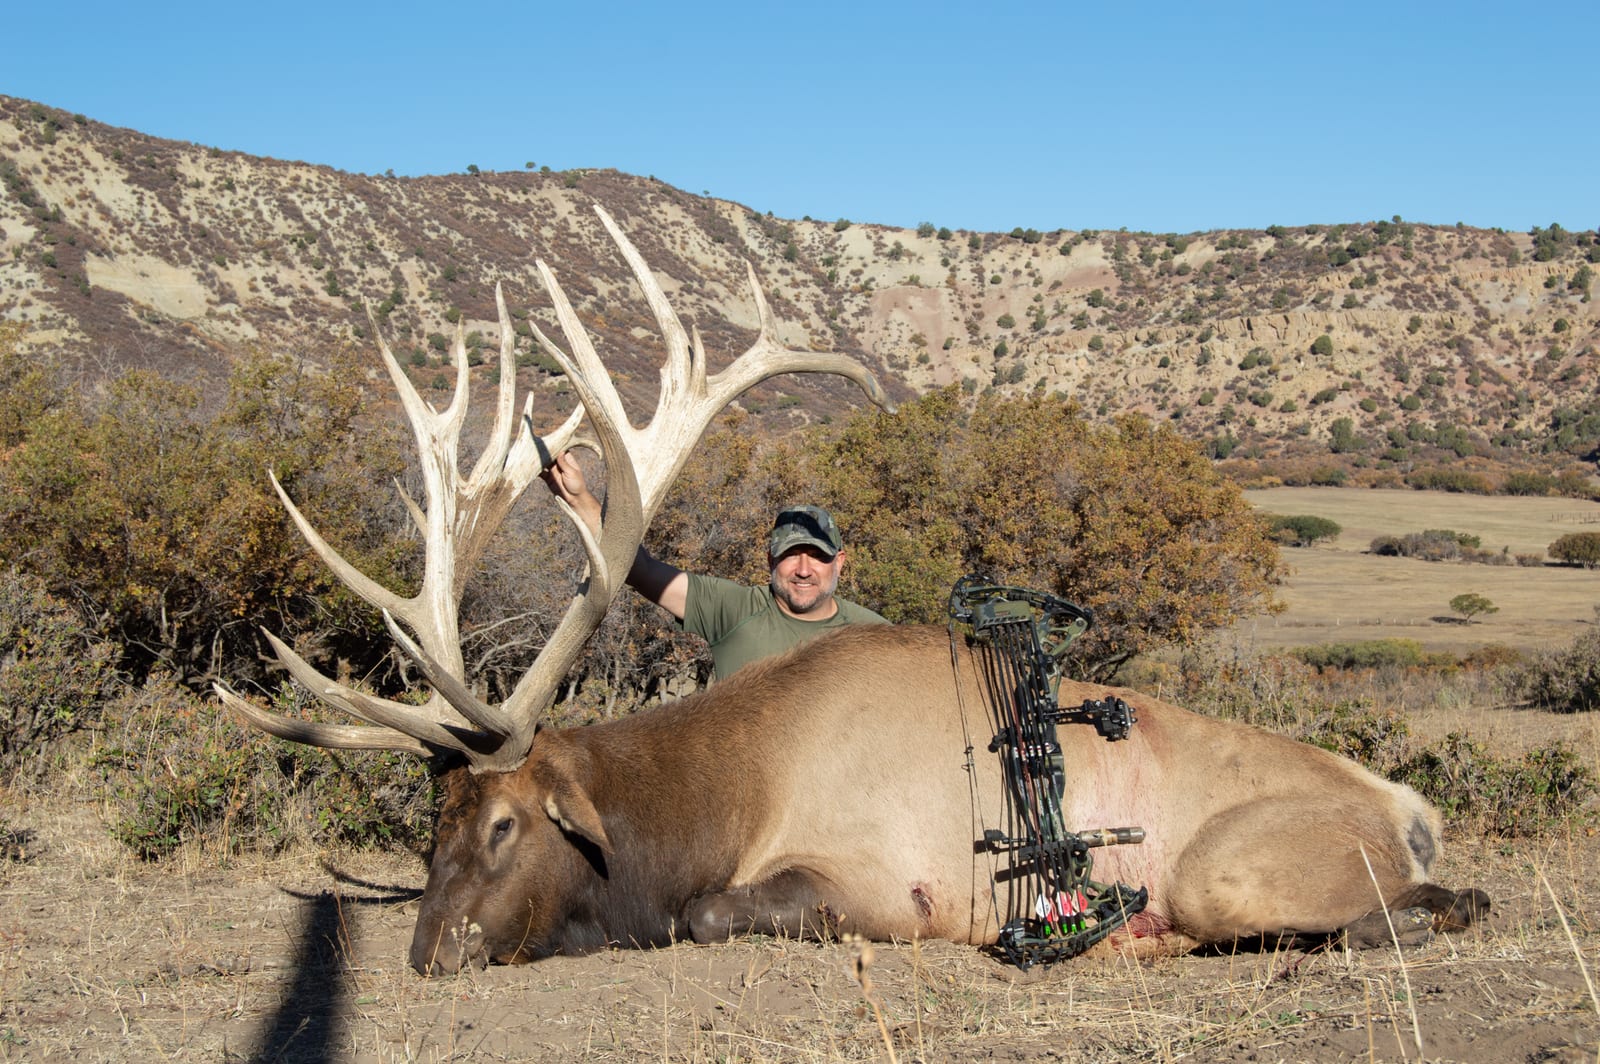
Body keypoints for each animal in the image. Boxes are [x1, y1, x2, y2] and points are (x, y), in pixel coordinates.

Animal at [216, 205, 1487, 974]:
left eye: (501, 821)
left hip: (1220, 865)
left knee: (1430, 904)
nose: (431, 949)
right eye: (426, 826)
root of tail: (1406, 803)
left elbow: (709, 910)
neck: (719, 797)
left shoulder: (884, 881)